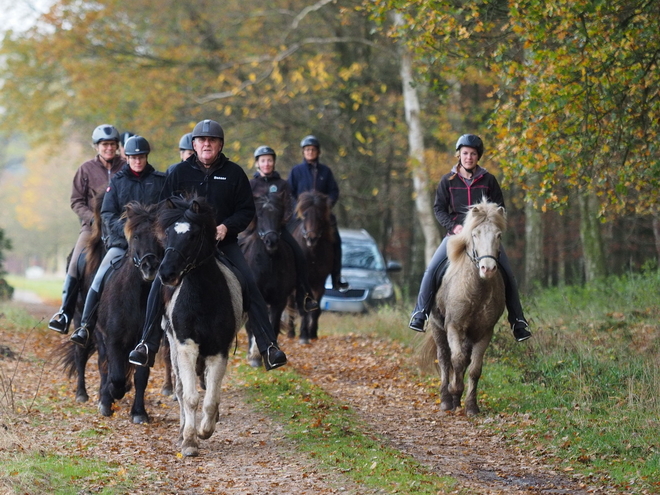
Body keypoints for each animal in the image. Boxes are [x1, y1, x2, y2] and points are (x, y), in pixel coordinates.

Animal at [94, 202, 162, 422]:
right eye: (137, 236)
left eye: (160, 237)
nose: (150, 266)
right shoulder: (114, 339)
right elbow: (114, 375)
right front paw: (112, 393)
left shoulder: (147, 344)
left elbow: (141, 377)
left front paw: (139, 412)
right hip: (99, 337)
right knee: (104, 366)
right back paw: (105, 398)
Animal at [157, 195, 245, 458]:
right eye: (168, 233)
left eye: (192, 235)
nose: (166, 273)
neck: (202, 298)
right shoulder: (186, 347)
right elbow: (190, 397)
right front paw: (189, 441)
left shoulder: (219, 351)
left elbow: (211, 398)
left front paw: (205, 430)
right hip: (173, 348)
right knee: (179, 388)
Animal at [238, 194, 296, 368]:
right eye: (260, 215)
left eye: (278, 214)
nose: (271, 241)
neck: (268, 264)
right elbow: (253, 326)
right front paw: (254, 357)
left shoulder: (279, 300)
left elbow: (273, 325)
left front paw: (273, 356)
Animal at [286, 191, 336, 344]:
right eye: (304, 215)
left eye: (320, 216)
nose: (311, 239)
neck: (312, 253)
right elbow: (303, 307)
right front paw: (303, 335)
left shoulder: (319, 282)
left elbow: (315, 308)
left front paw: (312, 333)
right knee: (291, 304)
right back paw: (291, 332)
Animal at [420, 200, 508, 416]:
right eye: (475, 234)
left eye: (498, 235)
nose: (487, 269)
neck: (476, 289)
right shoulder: (454, 326)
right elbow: (456, 360)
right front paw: (454, 392)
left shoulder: (484, 331)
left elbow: (475, 368)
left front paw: (471, 406)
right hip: (437, 327)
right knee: (444, 359)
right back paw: (446, 400)